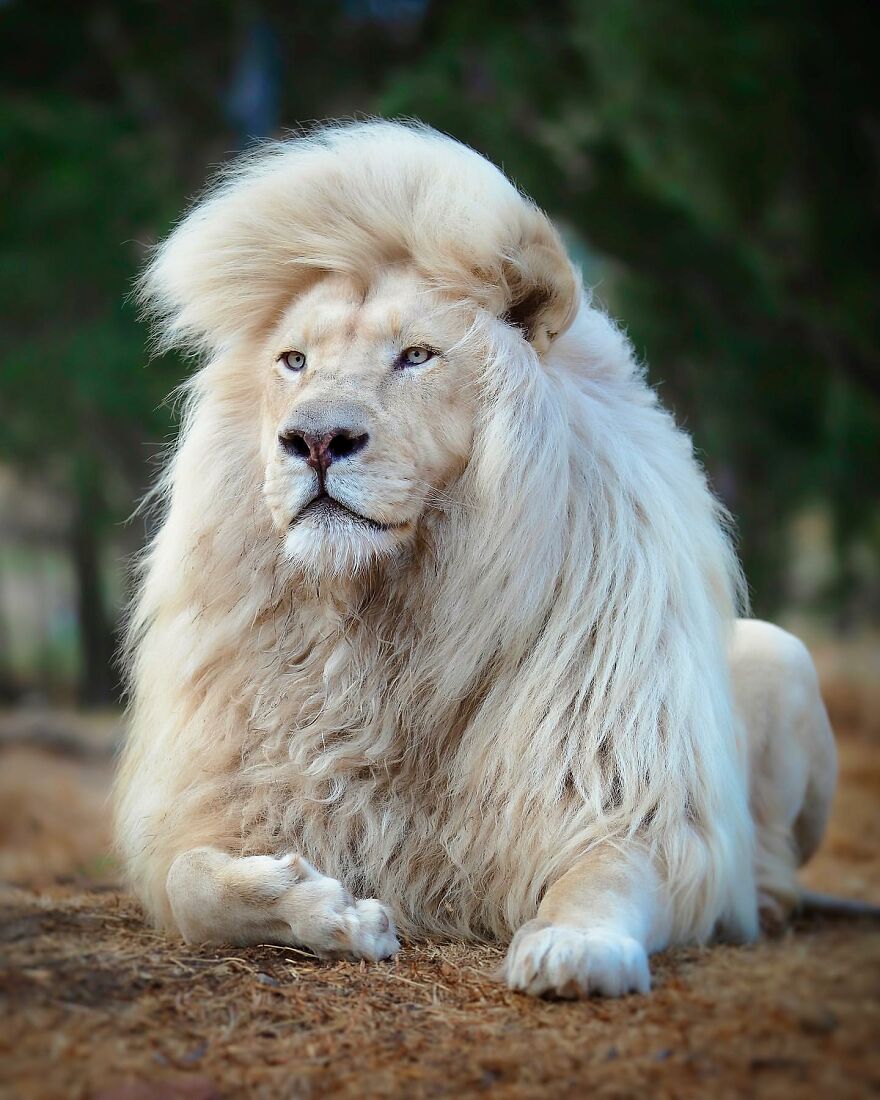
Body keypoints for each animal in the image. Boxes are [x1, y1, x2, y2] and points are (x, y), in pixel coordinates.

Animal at [115, 120, 837, 998]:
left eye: (417, 356)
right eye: (294, 361)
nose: (315, 439)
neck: (387, 621)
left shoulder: (632, 799)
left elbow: (607, 875)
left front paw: (574, 950)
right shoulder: (231, 797)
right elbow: (189, 884)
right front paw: (327, 913)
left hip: (782, 654)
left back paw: (758, 906)